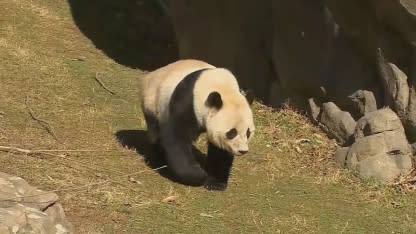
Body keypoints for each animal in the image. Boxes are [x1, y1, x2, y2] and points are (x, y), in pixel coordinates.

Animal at [140, 59, 255, 190]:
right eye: (232, 132)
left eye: (248, 132)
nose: (243, 151)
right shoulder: (187, 102)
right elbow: (177, 137)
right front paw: (199, 176)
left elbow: (220, 150)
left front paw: (216, 182)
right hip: (153, 101)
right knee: (155, 132)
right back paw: (159, 160)